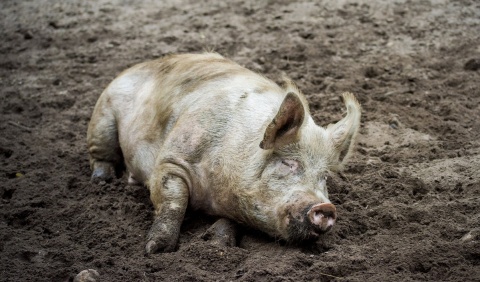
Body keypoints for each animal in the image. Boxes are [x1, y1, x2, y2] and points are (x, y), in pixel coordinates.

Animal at [86, 53, 360, 253]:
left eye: (324, 176)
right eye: (288, 163)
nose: (326, 208)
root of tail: (140, 65)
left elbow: (230, 223)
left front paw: (218, 245)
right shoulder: (172, 159)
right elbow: (173, 200)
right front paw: (156, 249)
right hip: (103, 114)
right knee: (101, 153)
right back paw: (102, 180)